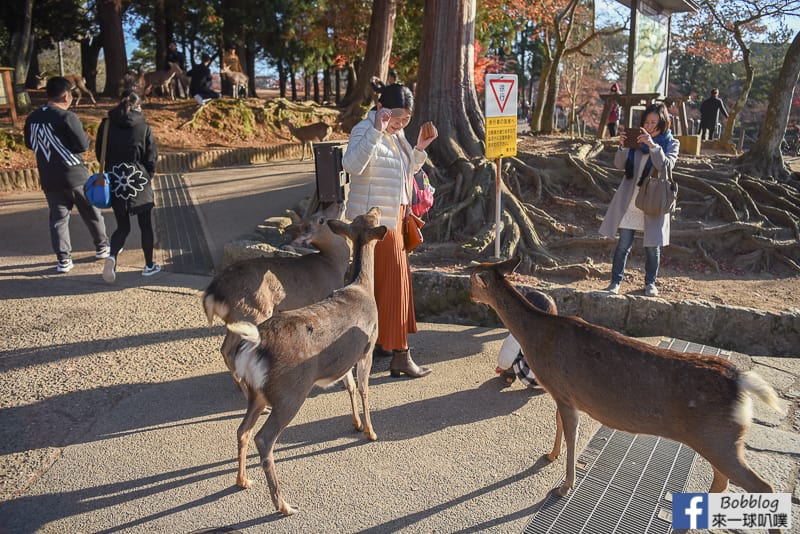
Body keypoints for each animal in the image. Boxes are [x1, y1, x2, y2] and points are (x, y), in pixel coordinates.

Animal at [202, 205, 348, 394]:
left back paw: (240, 386)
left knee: (225, 349)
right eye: (320, 219)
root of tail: (213, 292)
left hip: (235, 319)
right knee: (235, 350)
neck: (333, 263)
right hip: (253, 312)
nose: (340, 202)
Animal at [225, 207, 388, 516]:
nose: (375, 209)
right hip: (290, 391)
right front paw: (371, 432)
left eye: (362, 218)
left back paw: (242, 480)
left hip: (256, 393)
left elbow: (348, 385)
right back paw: (283, 505)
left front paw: (356, 424)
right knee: (263, 438)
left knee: (242, 430)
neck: (362, 287)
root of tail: (254, 344)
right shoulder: (368, 347)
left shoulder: (343, 359)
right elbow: (363, 388)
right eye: (370, 218)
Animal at [466, 258, 784, 532]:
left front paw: (564, 487)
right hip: (718, 439)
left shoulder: (563, 392)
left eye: (471, 279)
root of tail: (741, 381)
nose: (469, 295)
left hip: (717, 437)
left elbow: (572, 435)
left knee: (763, 486)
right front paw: (550, 455)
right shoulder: (562, 392)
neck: (537, 338)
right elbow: (558, 424)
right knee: (722, 482)